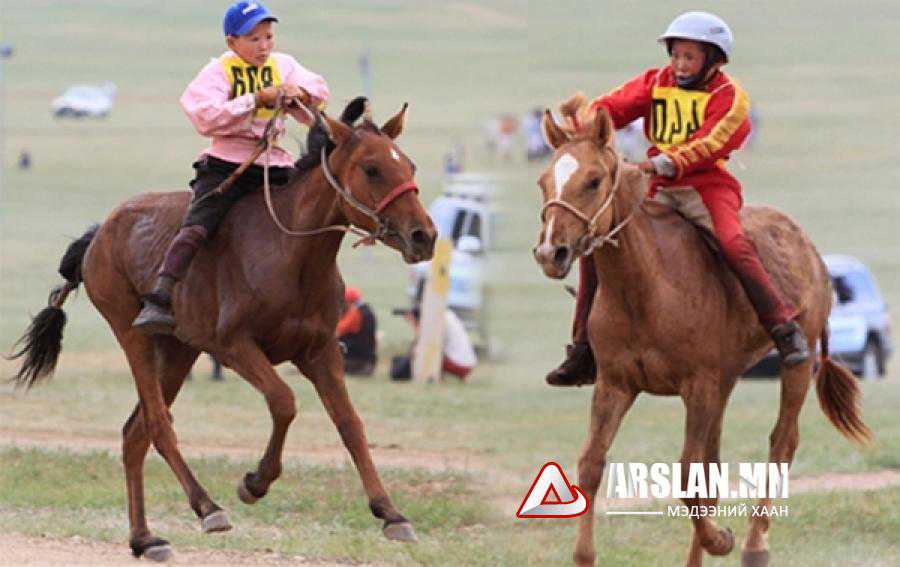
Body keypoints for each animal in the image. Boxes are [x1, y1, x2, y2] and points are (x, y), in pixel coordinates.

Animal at [9, 100, 436, 560]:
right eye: (372, 169)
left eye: (409, 165)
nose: (424, 236)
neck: (292, 254)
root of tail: (100, 233)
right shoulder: (233, 347)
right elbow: (283, 401)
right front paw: (255, 483)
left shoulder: (320, 352)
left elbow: (350, 424)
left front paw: (391, 512)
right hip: (133, 333)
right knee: (158, 424)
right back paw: (206, 507)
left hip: (178, 350)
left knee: (134, 432)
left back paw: (145, 539)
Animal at [536, 101, 872, 567]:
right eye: (543, 181)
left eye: (593, 180)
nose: (551, 252)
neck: (646, 287)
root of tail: (811, 251)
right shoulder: (615, 385)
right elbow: (592, 463)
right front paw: (585, 554)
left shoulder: (700, 387)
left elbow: (687, 474)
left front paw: (722, 540)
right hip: (726, 383)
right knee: (713, 464)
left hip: (793, 371)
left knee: (782, 442)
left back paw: (754, 545)